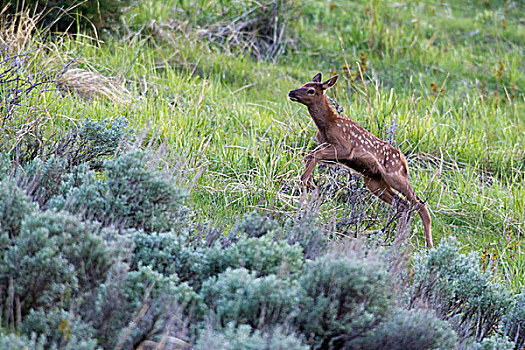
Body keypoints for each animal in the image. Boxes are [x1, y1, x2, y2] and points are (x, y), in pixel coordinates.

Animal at [288, 72, 432, 247]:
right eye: (304, 84)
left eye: (310, 90)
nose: (291, 92)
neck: (327, 125)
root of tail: (404, 162)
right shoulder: (329, 149)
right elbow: (310, 154)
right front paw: (310, 183)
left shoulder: (345, 148)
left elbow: (315, 154)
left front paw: (305, 181)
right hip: (375, 182)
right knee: (403, 205)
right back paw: (397, 240)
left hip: (395, 177)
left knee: (419, 204)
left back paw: (427, 246)